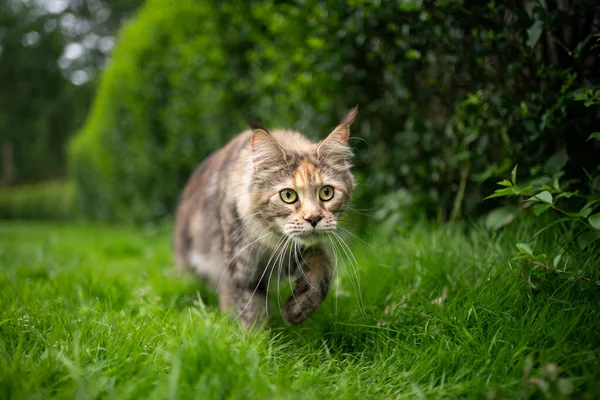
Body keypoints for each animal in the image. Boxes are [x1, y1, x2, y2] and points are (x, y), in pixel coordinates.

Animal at [176, 106, 358, 328]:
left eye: (326, 192)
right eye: (288, 195)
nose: (314, 218)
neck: (273, 242)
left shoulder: (297, 252)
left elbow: (324, 264)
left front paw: (297, 308)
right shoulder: (244, 272)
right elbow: (252, 316)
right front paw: (256, 337)